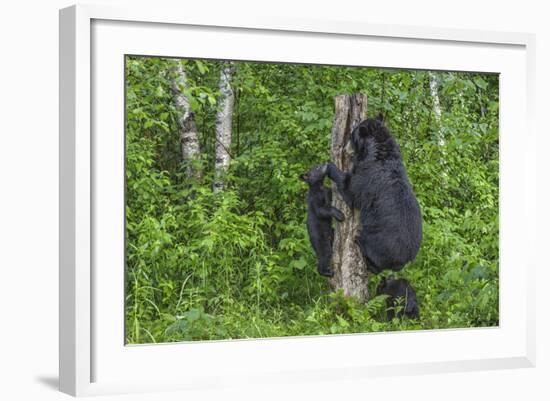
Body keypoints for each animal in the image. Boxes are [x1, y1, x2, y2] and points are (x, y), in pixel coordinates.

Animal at [328, 114, 422, 274]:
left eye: (351, 136)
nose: (345, 148)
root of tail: (405, 260)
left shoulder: (367, 175)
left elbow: (351, 190)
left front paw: (327, 166)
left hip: (378, 242)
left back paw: (359, 240)